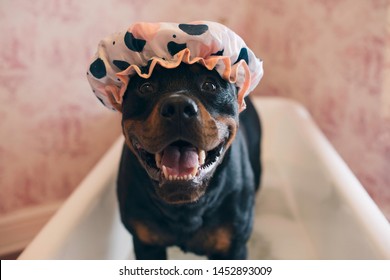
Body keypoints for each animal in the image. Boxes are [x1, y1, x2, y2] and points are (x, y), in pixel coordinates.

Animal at [116, 62, 262, 260]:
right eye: (145, 87)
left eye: (210, 85)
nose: (178, 106)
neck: (185, 209)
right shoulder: (147, 245)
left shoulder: (233, 248)